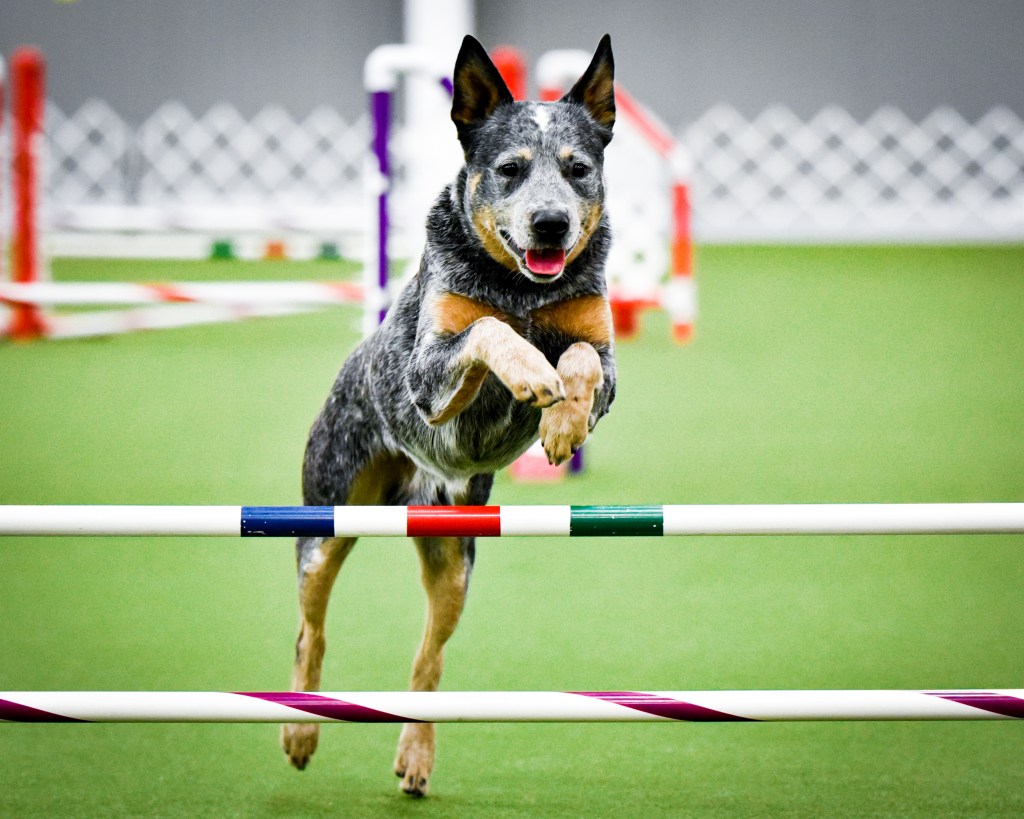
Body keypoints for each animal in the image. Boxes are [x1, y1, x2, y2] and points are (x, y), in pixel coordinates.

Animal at [281, 34, 617, 797]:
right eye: (511, 169)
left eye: (577, 169)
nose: (550, 223)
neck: (522, 288)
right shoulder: (428, 375)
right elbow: (488, 330)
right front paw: (531, 372)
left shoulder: (606, 357)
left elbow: (582, 359)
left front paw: (562, 421)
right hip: (325, 520)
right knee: (311, 628)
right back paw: (300, 730)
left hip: (454, 558)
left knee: (427, 660)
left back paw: (415, 753)